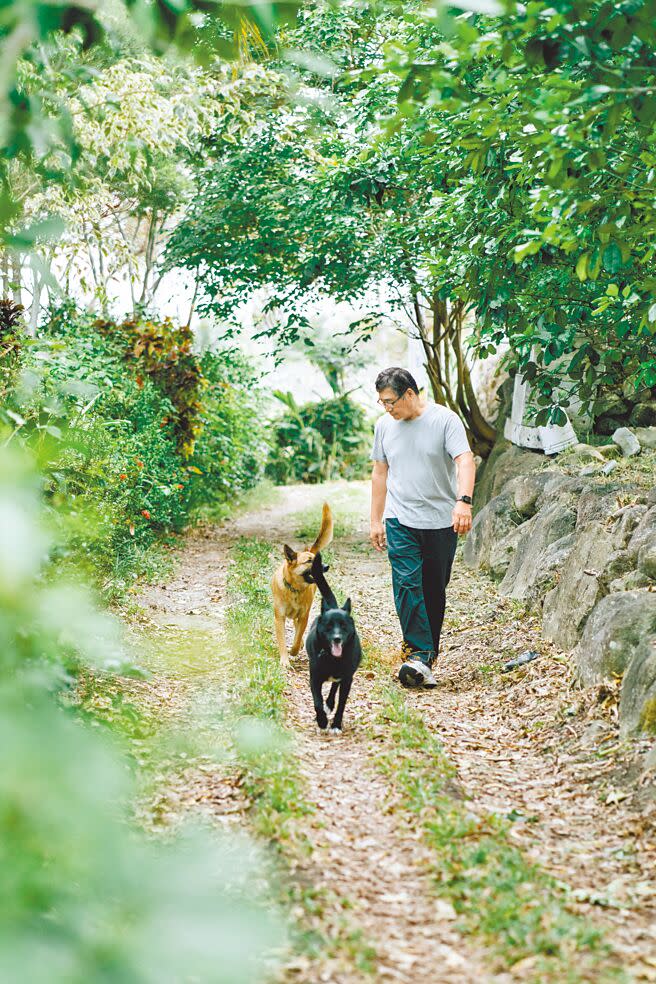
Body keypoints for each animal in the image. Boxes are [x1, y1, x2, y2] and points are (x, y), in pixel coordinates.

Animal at [272, 500, 334, 668]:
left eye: (316, 559)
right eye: (309, 561)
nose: (326, 567)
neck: (294, 588)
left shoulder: (304, 616)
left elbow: (298, 637)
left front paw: (294, 651)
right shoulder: (279, 618)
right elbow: (282, 641)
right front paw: (285, 661)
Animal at [304, 552, 362, 732]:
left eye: (343, 625)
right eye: (329, 626)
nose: (337, 638)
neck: (332, 658)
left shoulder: (348, 679)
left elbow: (342, 704)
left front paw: (336, 724)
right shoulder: (314, 678)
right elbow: (317, 702)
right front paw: (322, 721)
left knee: (334, 687)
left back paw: (330, 704)